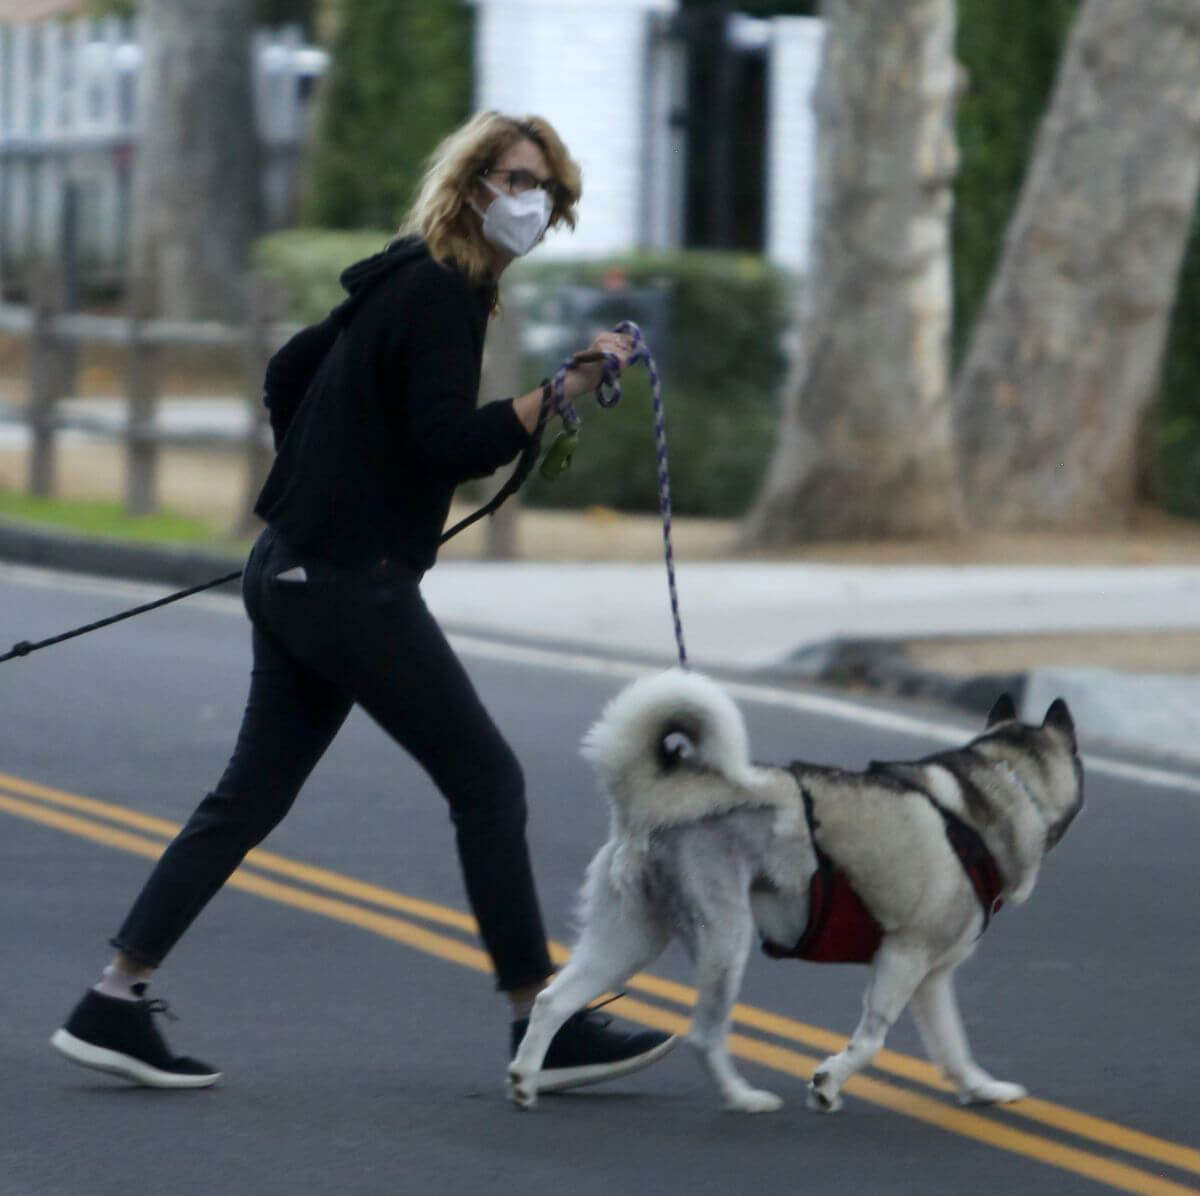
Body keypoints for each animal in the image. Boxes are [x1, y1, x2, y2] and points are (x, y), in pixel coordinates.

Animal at [511, 671, 1084, 1108]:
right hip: (726, 942)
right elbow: (871, 1040)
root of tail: (657, 795)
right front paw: (828, 1083)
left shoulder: (933, 980)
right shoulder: (902, 958)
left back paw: (526, 1082)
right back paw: (743, 1099)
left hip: (628, 942)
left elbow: (954, 1048)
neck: (1005, 783)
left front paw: (983, 1090)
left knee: (552, 1001)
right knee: (704, 1036)